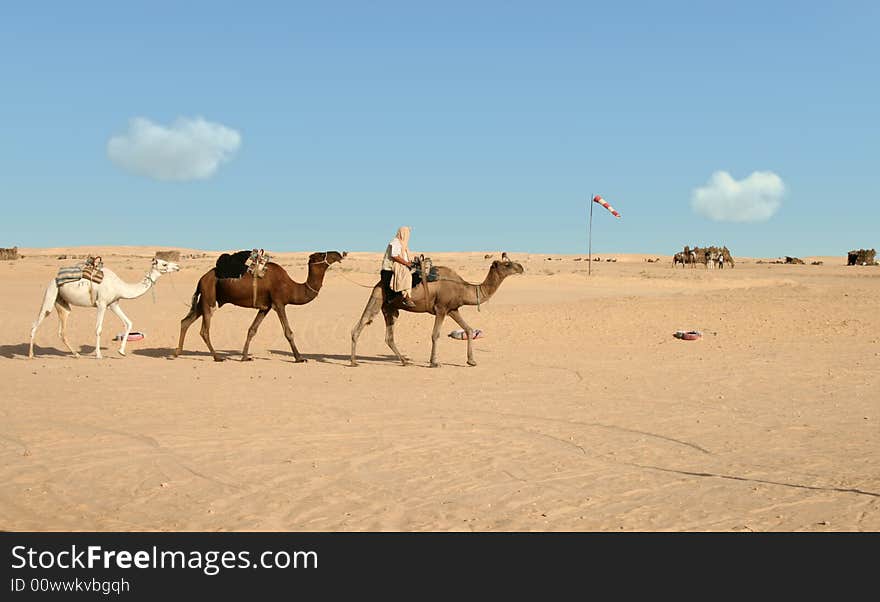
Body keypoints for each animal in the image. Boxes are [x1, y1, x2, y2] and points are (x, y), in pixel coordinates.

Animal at [28, 255, 180, 358]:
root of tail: (54, 278)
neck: (120, 286)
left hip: (62, 304)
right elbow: (99, 329)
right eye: (164, 264)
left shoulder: (113, 304)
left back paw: (76, 354)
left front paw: (121, 351)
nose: (177, 267)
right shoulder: (101, 303)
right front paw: (99, 354)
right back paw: (30, 355)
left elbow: (129, 323)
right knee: (36, 323)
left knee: (62, 330)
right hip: (50, 294)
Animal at [174, 250, 346, 360]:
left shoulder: (266, 307)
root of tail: (201, 278)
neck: (291, 287)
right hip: (208, 297)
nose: (338, 253)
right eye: (321, 254)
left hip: (204, 300)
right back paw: (217, 357)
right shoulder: (279, 303)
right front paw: (299, 357)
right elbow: (288, 332)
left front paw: (244, 357)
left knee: (185, 321)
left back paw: (177, 353)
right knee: (204, 330)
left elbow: (252, 330)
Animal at [348, 253, 524, 366]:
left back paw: (404, 361)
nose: (521, 267)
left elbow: (468, 329)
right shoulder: (441, 308)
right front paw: (434, 362)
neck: (462, 288)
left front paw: (471, 361)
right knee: (362, 323)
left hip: (390, 308)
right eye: (507, 264)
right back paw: (353, 361)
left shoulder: (452, 309)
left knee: (389, 336)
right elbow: (435, 335)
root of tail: (378, 283)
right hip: (377, 298)